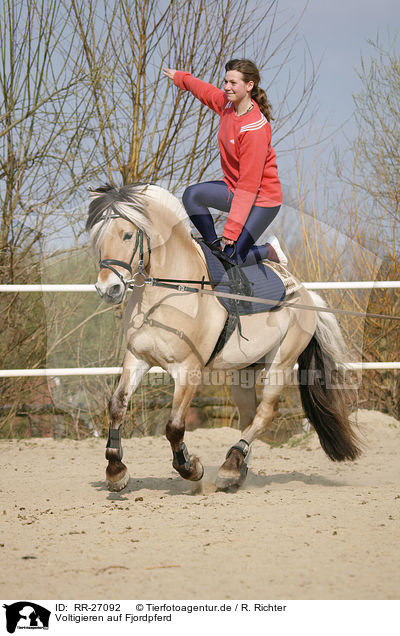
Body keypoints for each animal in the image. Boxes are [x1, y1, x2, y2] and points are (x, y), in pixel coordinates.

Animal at [86, 184, 360, 492]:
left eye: (127, 234)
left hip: (280, 363)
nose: (107, 288)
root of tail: (305, 294)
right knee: (248, 417)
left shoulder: (188, 370)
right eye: (98, 236)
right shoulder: (137, 358)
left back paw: (230, 466)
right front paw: (115, 470)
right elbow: (117, 407)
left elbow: (174, 426)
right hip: (243, 371)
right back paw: (237, 469)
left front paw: (191, 468)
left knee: (265, 413)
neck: (172, 292)